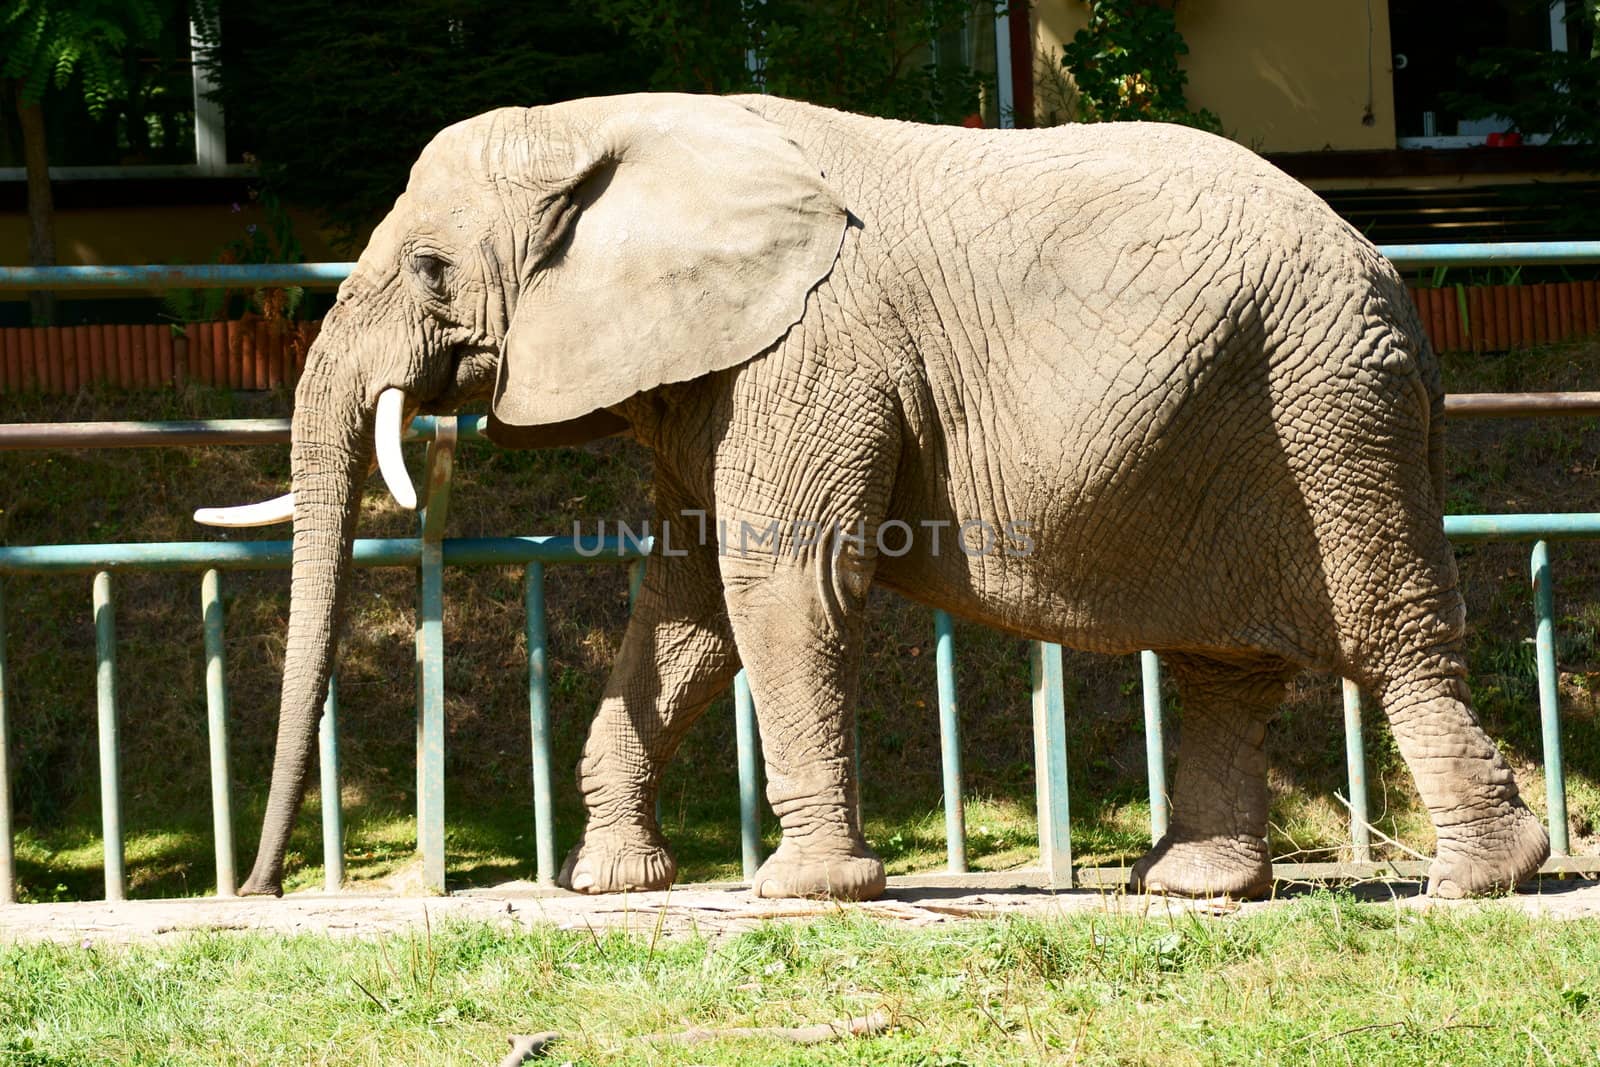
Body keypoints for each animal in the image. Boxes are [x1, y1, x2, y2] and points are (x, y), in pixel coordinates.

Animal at [196, 93, 1548, 902]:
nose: (256, 891)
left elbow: (776, 579)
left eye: (431, 269)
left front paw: (802, 895)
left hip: (1331, 410)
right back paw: (1194, 888)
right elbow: (682, 606)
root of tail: (1399, 283)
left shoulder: (811, 347)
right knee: (1223, 656)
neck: (617, 128)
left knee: (1390, 632)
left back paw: (1481, 879)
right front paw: (612, 885)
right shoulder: (712, 369)